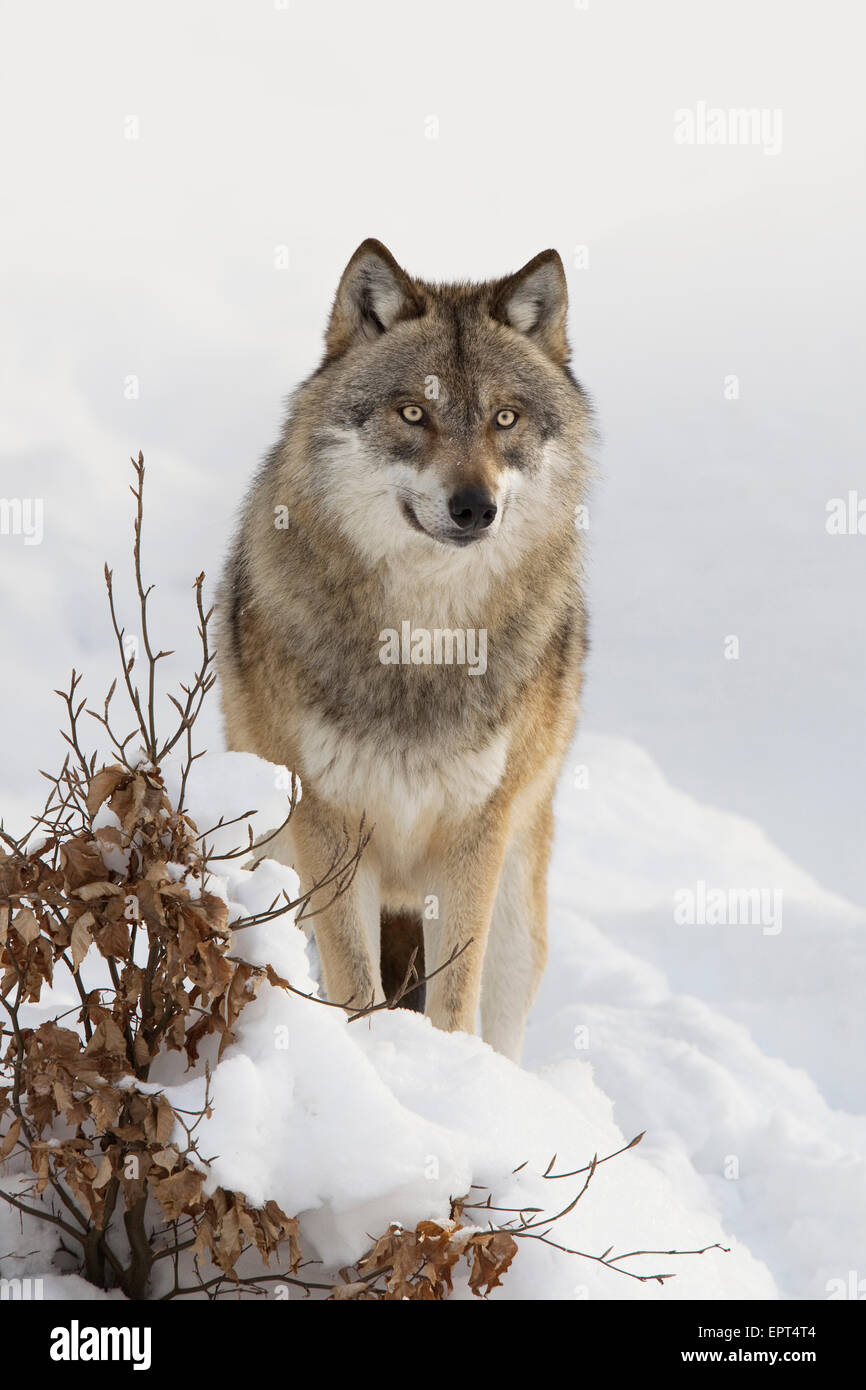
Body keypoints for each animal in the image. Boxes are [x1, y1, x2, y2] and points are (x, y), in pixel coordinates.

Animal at [217, 239, 591, 1061]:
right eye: (413, 413)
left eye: (505, 418)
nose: (475, 507)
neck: (421, 635)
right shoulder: (328, 823)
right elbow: (357, 986)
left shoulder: (475, 834)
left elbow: (453, 998)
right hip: (271, 862)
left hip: (517, 920)